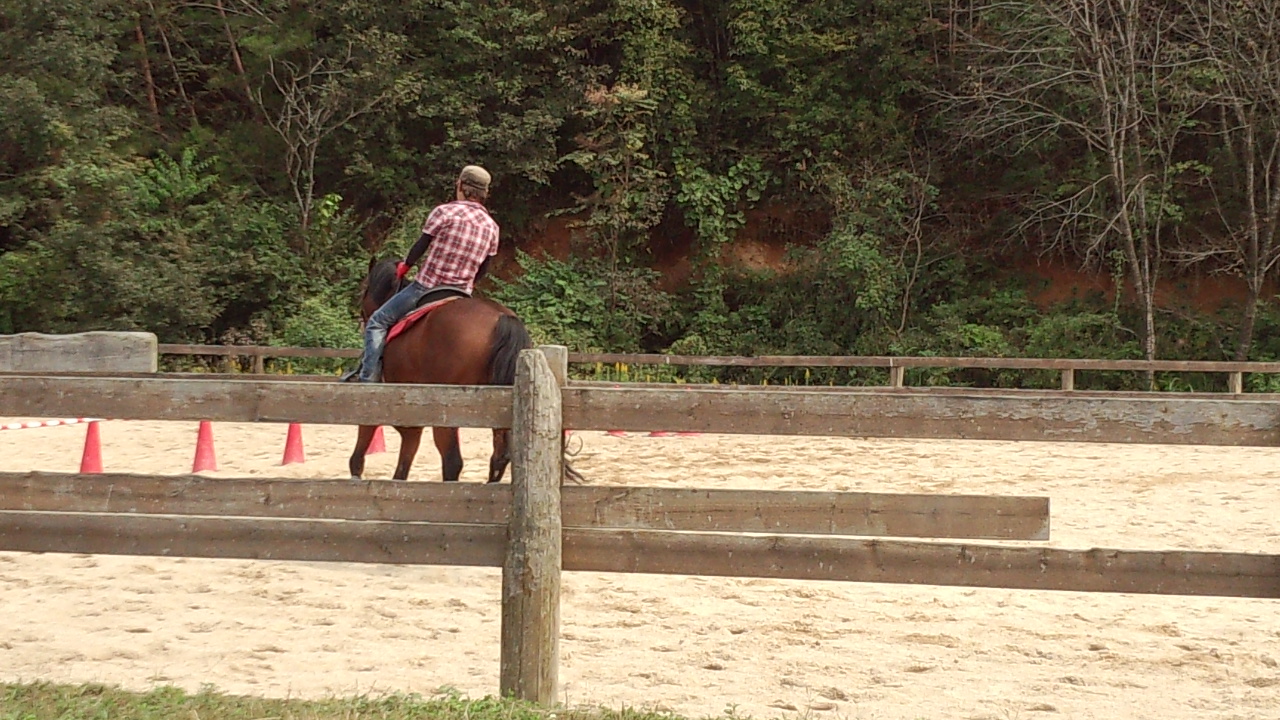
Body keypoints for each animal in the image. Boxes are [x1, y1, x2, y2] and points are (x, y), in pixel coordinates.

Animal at [340, 256, 581, 481]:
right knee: (499, 457)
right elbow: (403, 463)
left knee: (452, 461)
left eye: (363, 290)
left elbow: (360, 451)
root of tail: (501, 318)